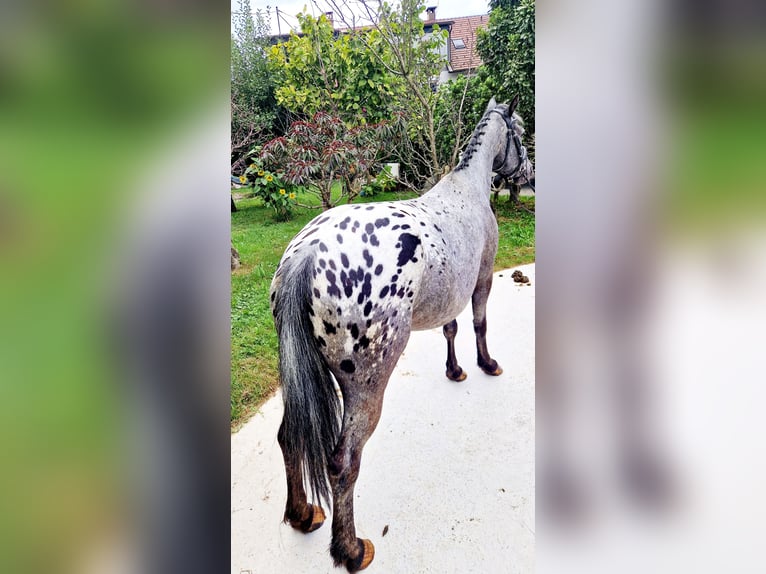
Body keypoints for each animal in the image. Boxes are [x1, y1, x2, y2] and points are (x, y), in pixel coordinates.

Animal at [272, 95, 536, 572]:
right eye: (520, 132)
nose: (528, 173)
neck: (467, 189)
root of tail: (307, 254)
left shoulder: (449, 296)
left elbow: (451, 328)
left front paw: (455, 370)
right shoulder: (483, 278)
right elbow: (479, 323)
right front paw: (486, 364)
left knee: (289, 437)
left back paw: (302, 514)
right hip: (366, 385)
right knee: (343, 463)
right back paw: (351, 549)